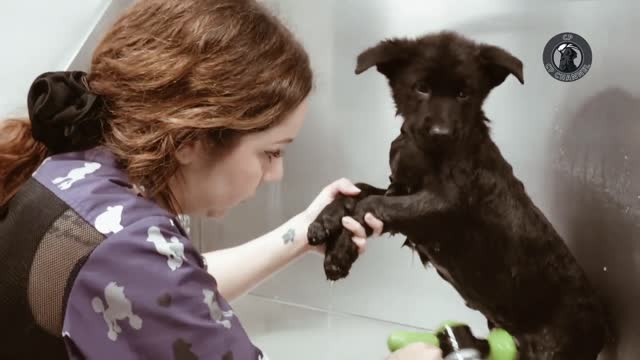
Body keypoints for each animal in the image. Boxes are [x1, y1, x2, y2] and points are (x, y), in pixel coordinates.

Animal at [310, 31, 608, 360]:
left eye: (465, 94)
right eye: (421, 88)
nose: (441, 133)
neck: (426, 153)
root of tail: (602, 329)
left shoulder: (442, 204)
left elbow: (370, 204)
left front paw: (339, 254)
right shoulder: (399, 188)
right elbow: (358, 191)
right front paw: (324, 222)